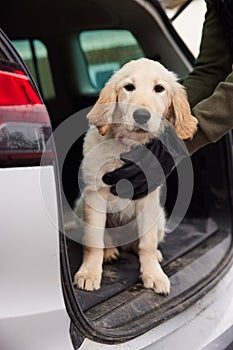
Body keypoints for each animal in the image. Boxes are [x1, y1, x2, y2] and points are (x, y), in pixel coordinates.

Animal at [73, 58, 197, 294]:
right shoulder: (94, 195)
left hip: (160, 217)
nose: (141, 116)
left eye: (159, 89)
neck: (127, 147)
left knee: (140, 243)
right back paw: (110, 250)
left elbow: (146, 243)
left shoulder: (147, 198)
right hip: (80, 206)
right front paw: (89, 273)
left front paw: (153, 274)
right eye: (129, 87)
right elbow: (94, 240)